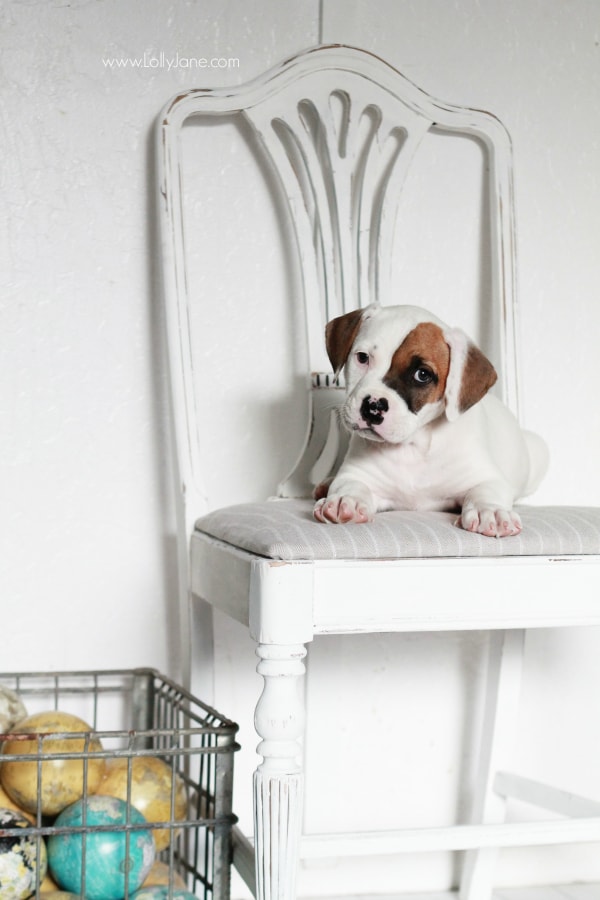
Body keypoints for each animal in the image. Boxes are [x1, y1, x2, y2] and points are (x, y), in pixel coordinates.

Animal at [314, 306, 548, 536]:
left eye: (422, 374)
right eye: (362, 357)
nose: (373, 407)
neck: (414, 446)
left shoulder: (487, 477)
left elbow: (486, 491)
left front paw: (491, 511)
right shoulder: (357, 474)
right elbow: (351, 484)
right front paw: (346, 500)